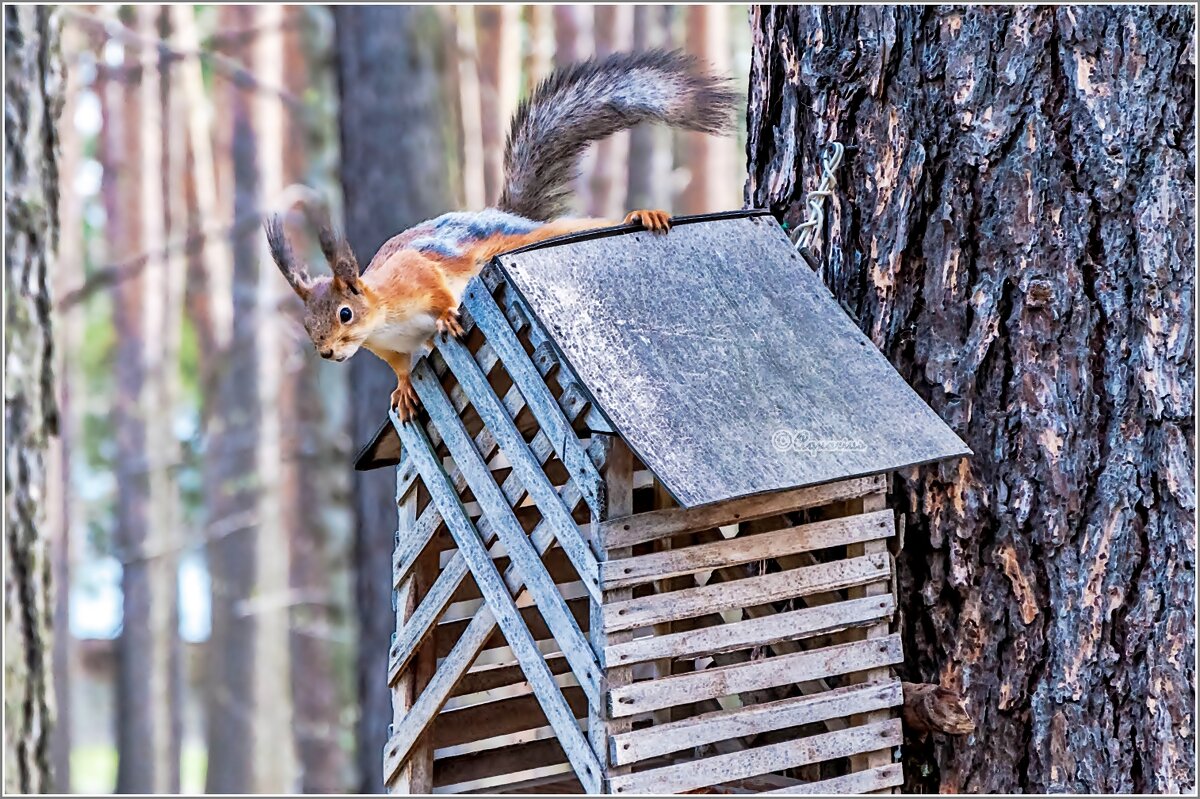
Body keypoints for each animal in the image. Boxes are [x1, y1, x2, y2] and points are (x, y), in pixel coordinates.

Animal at [265, 50, 729, 419]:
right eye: (307, 324)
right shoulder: (390, 348)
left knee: (573, 227)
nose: (326, 351)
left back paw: (643, 215)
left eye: (345, 313)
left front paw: (448, 316)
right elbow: (400, 367)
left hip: (528, 239)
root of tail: (505, 215)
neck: (382, 319)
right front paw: (404, 389)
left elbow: (439, 292)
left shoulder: (415, 274)